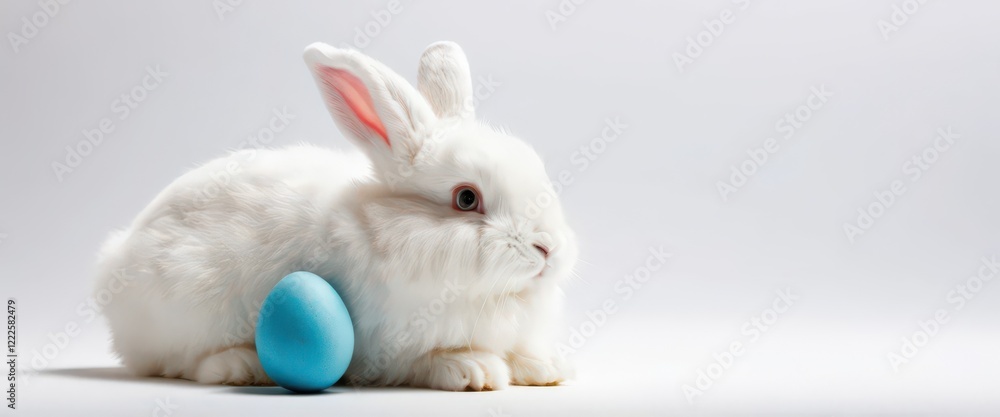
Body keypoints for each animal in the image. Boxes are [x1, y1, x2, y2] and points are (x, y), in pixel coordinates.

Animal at [94, 41, 578, 391]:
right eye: (465, 198)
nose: (549, 249)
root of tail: (114, 261)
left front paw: (546, 367)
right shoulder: (388, 347)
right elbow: (428, 360)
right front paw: (474, 370)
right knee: (180, 362)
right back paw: (240, 365)